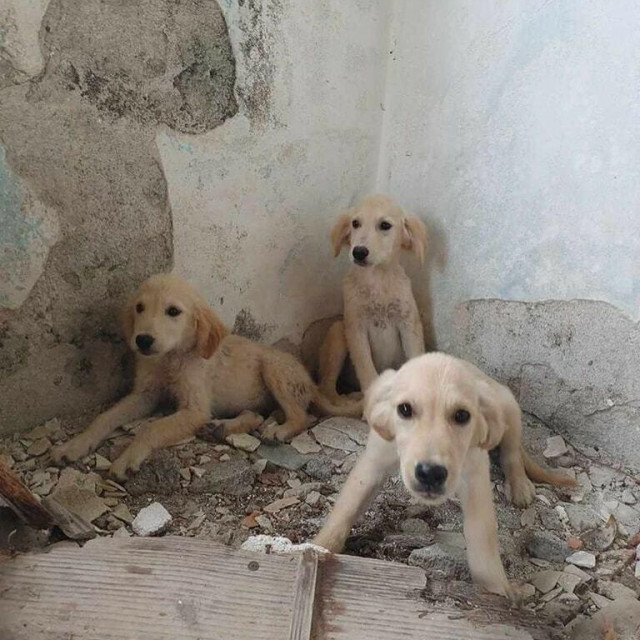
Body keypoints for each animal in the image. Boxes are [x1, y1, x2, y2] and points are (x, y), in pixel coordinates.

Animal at [52, 276, 362, 480]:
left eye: (173, 311)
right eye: (139, 308)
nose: (142, 340)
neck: (172, 357)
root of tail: (311, 382)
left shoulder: (194, 409)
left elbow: (150, 428)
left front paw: (128, 457)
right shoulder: (145, 395)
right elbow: (104, 417)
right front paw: (75, 444)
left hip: (275, 368)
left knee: (301, 417)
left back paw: (278, 431)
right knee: (256, 415)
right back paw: (221, 427)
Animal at [314, 352, 576, 596]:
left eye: (462, 415)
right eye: (405, 409)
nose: (430, 474)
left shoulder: (475, 475)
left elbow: (482, 534)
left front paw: (496, 590)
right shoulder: (373, 462)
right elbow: (347, 508)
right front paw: (318, 547)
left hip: (509, 409)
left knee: (511, 453)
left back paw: (520, 485)